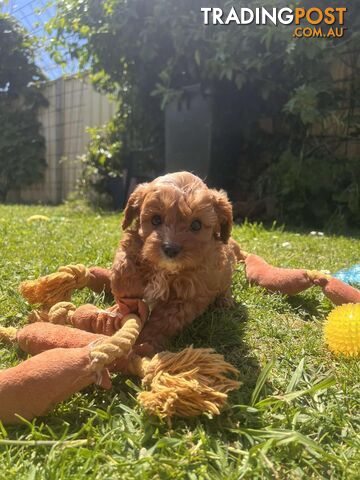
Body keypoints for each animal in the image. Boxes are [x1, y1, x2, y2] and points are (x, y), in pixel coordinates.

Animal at [112, 171, 242, 354]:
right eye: (156, 220)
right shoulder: (135, 242)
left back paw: (225, 302)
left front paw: (144, 345)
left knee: (225, 288)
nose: (170, 249)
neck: (165, 270)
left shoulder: (187, 296)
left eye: (196, 225)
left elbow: (163, 322)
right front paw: (125, 286)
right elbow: (125, 259)